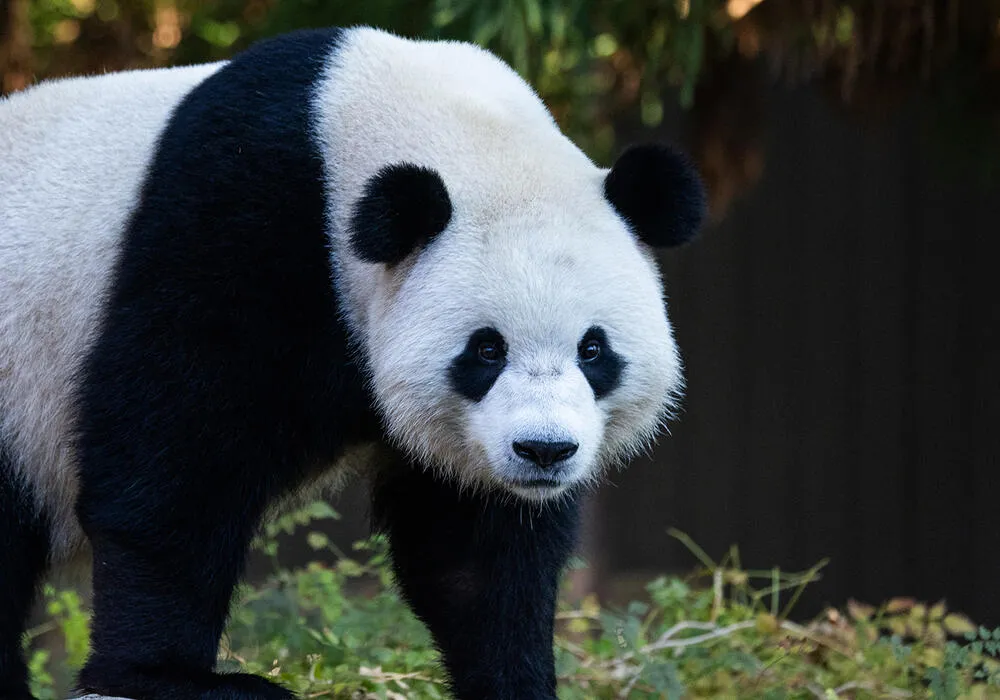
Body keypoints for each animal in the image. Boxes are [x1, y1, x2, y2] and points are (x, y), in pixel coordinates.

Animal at [0, 26, 704, 700]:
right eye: (486, 349)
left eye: (592, 349)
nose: (544, 451)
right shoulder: (232, 222)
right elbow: (173, 458)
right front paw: (162, 677)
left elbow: (474, 548)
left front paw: (514, 679)